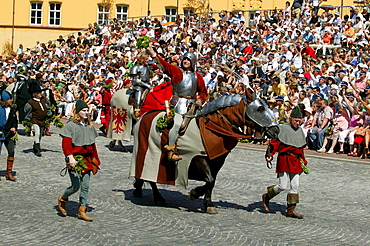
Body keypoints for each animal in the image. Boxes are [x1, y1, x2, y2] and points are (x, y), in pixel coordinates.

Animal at [130, 90, 278, 213]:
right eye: (260, 109)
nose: (276, 130)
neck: (211, 128)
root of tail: (143, 116)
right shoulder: (198, 157)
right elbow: (210, 180)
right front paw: (195, 193)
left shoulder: (217, 161)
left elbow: (211, 182)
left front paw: (208, 203)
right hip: (149, 154)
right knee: (150, 178)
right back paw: (158, 197)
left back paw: (139, 188)